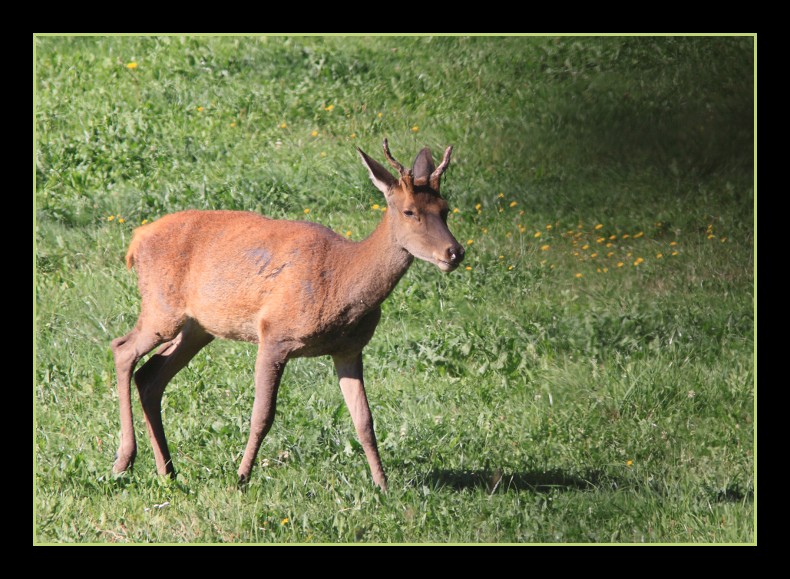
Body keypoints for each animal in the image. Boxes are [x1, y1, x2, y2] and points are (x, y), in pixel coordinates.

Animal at [113, 138, 470, 492]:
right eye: (410, 211)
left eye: (445, 209)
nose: (454, 252)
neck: (342, 283)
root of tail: (135, 241)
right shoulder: (274, 333)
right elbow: (262, 415)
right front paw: (241, 477)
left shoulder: (349, 349)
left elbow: (365, 420)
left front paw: (382, 485)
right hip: (162, 307)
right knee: (122, 349)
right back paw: (124, 461)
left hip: (199, 327)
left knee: (150, 375)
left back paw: (167, 471)